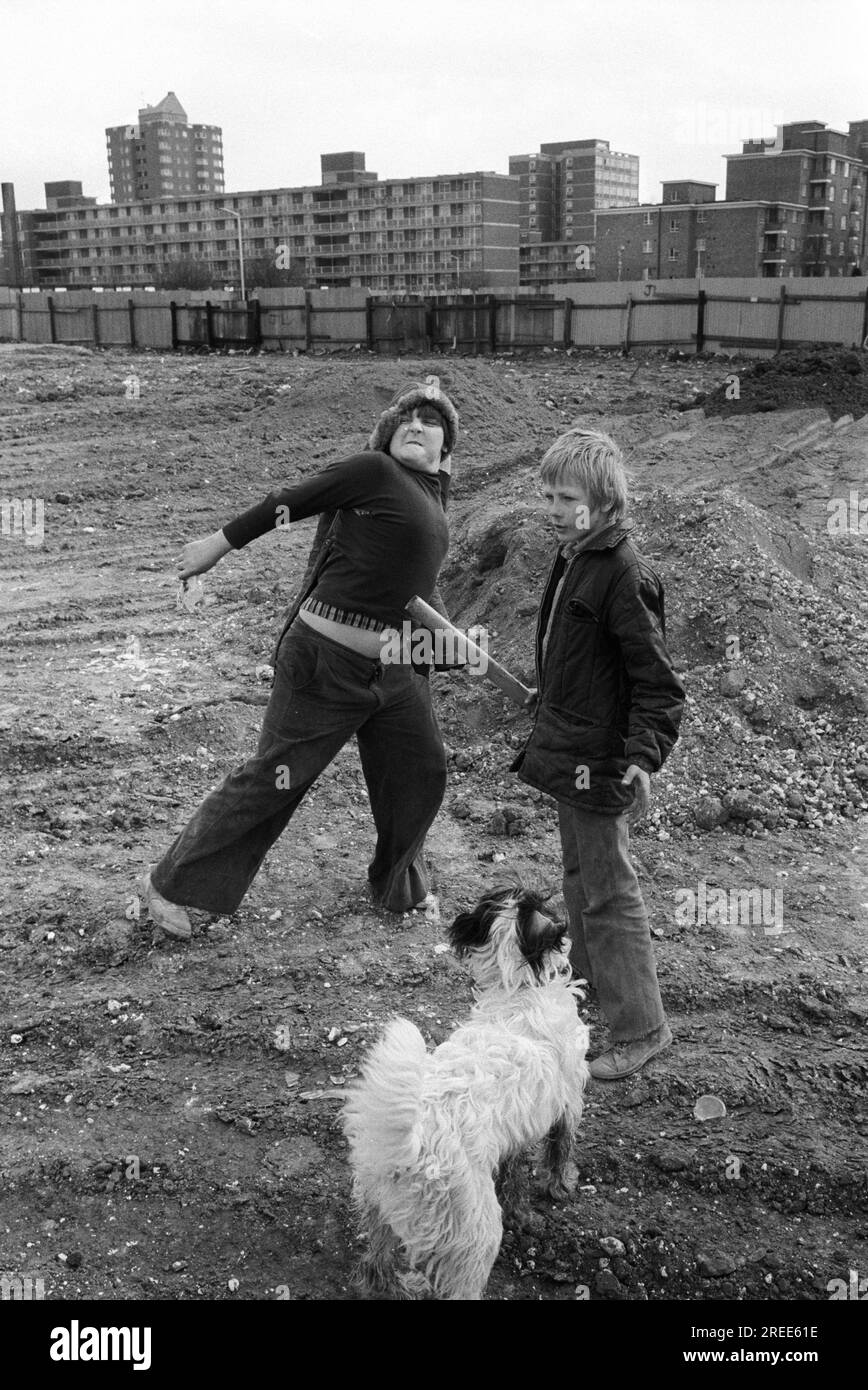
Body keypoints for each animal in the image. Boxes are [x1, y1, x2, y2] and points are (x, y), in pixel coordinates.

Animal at [340, 884, 589, 1295]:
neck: (516, 990)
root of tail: (409, 1150)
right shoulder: (567, 1102)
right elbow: (559, 1150)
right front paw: (560, 1186)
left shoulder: (514, 1135)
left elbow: (514, 1176)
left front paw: (522, 1211)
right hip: (476, 1234)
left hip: (379, 1210)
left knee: (376, 1263)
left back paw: (391, 1288)